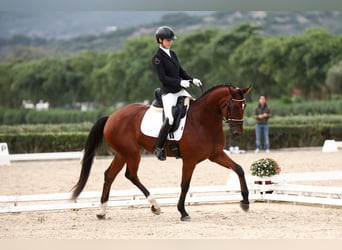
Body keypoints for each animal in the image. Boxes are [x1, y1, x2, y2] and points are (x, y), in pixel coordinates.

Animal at [71, 84, 251, 221]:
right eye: (232, 106)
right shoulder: (190, 160)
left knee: (110, 175)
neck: (203, 120)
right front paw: (183, 212)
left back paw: (102, 211)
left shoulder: (216, 155)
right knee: (131, 175)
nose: (238, 133)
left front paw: (245, 202)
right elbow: (185, 185)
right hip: (132, 153)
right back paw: (155, 205)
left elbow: (239, 169)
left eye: (244, 106)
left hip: (122, 154)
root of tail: (111, 116)